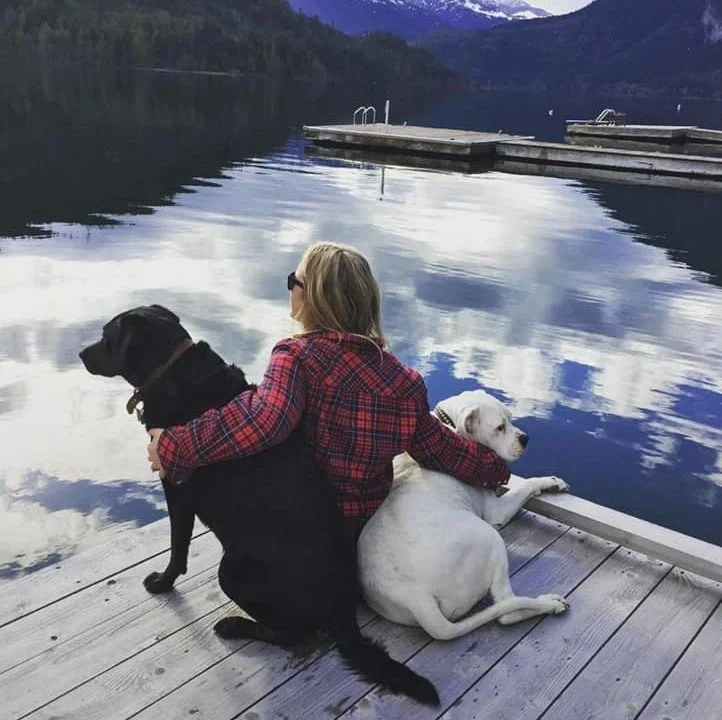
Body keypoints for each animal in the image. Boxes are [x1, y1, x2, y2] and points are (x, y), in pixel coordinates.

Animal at [79, 304, 438, 706]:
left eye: (106, 336)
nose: (80, 354)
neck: (170, 367)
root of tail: (344, 613)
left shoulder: (176, 487)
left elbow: (177, 545)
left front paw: (162, 582)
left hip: (233, 569)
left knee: (292, 633)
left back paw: (235, 625)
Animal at [357, 389, 570, 641]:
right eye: (499, 427)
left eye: (510, 418)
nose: (525, 438)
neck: (449, 426)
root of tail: (414, 595)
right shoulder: (497, 511)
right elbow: (525, 485)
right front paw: (549, 481)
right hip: (490, 539)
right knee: (507, 610)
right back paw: (549, 603)